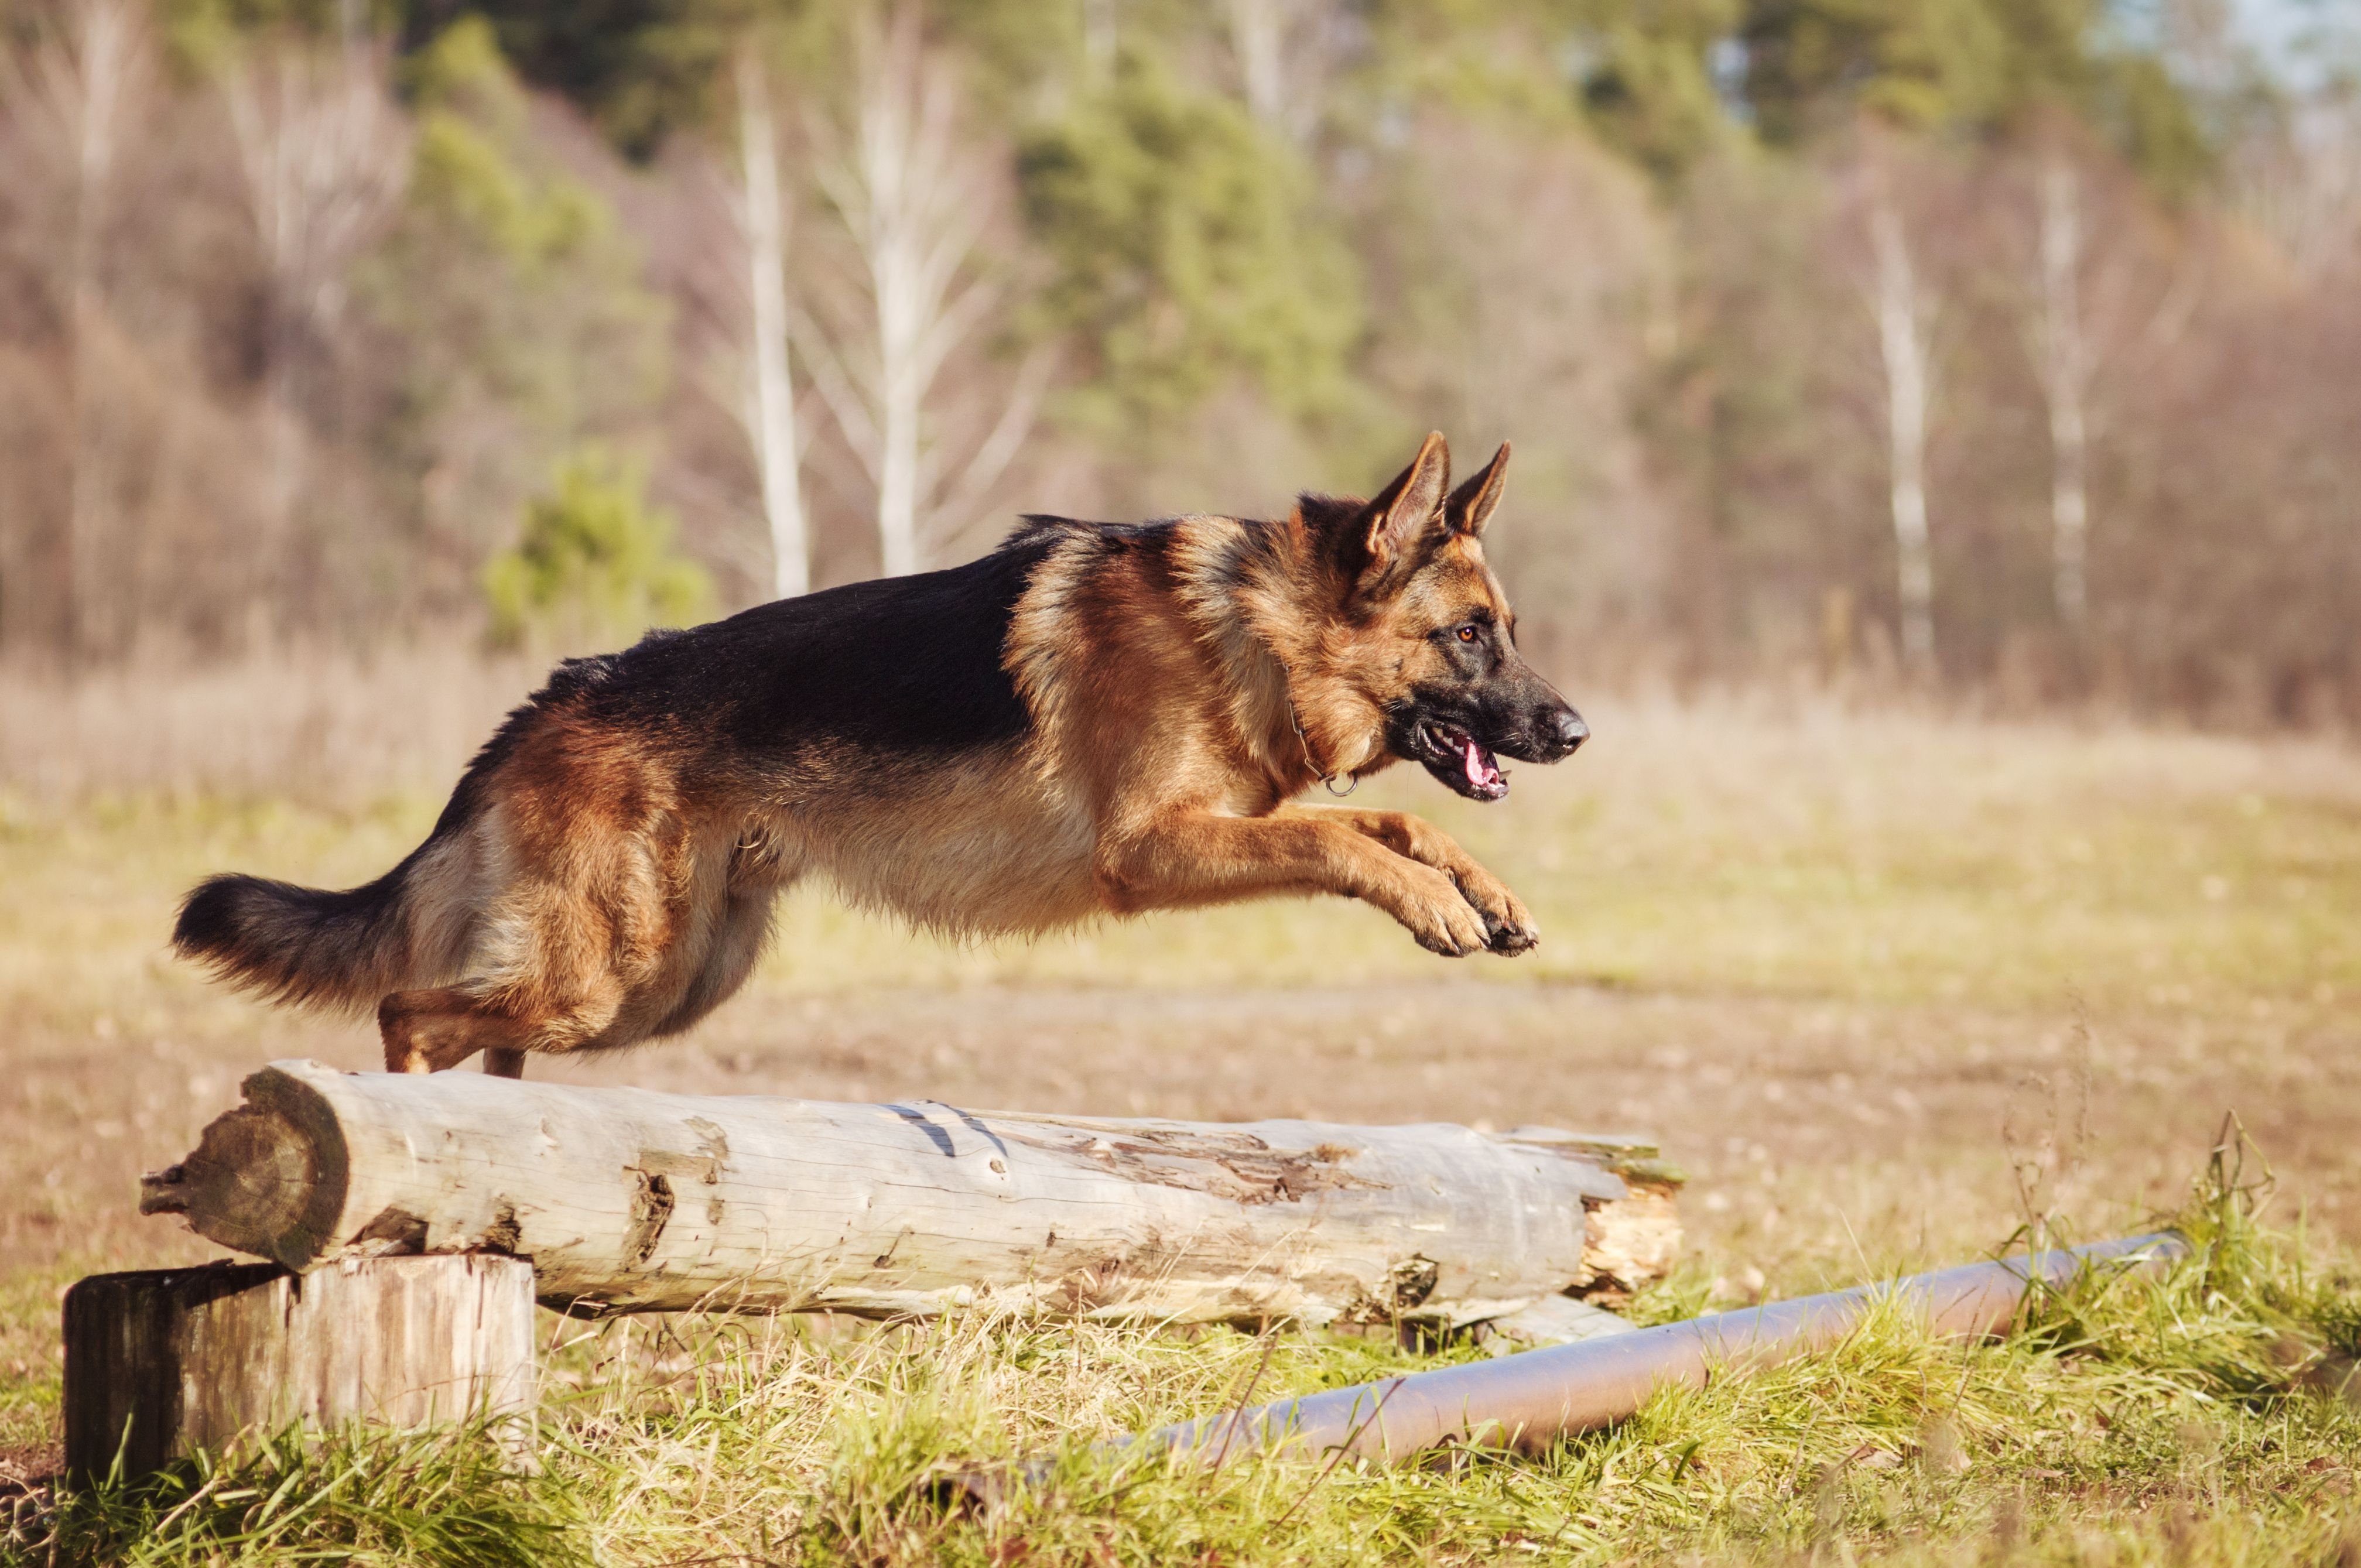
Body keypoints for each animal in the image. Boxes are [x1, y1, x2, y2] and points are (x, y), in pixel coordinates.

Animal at [171, 441, 1586, 1077]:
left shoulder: (1228, 822)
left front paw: (1487, 894)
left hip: (656, 985)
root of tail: (543, 704)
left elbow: (1401, 824)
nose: (1575, 732)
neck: (1256, 626)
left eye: (1511, 629)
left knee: (478, 1029)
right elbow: (1337, 834)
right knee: (408, 1011)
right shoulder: (1156, 847)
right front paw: (1431, 906)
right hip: (603, 977)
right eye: (1467, 636)